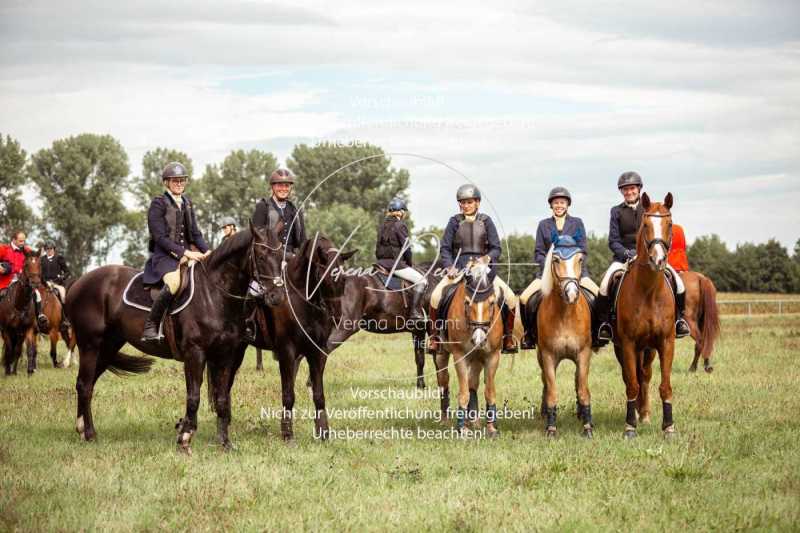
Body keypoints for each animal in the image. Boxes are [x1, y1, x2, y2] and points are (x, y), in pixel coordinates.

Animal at [65, 222, 286, 450]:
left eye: (281, 256)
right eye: (261, 256)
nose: (276, 296)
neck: (214, 295)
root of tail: (79, 282)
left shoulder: (226, 355)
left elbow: (222, 398)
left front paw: (225, 443)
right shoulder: (195, 354)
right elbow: (194, 396)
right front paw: (185, 438)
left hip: (108, 347)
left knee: (88, 384)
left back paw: (83, 430)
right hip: (90, 345)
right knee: (84, 385)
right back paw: (89, 433)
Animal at [434, 256, 504, 436]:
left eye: (492, 303)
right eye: (466, 303)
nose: (479, 340)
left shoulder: (492, 356)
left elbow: (489, 391)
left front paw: (491, 428)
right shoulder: (460, 356)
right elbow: (463, 392)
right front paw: (462, 429)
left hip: (477, 357)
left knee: (473, 383)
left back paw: (474, 421)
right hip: (441, 354)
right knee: (444, 380)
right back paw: (446, 420)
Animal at [536, 237, 596, 436]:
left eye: (580, 259)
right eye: (555, 260)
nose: (571, 294)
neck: (565, 314)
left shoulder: (584, 354)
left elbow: (583, 390)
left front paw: (587, 427)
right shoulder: (548, 356)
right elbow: (552, 391)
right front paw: (551, 428)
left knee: (578, 381)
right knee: (545, 384)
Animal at [616, 193, 680, 438]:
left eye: (669, 224)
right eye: (645, 225)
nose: (658, 260)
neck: (649, 291)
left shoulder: (666, 342)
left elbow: (665, 385)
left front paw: (669, 426)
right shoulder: (628, 343)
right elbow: (631, 383)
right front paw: (629, 426)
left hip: (649, 349)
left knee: (646, 375)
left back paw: (643, 413)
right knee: (632, 378)